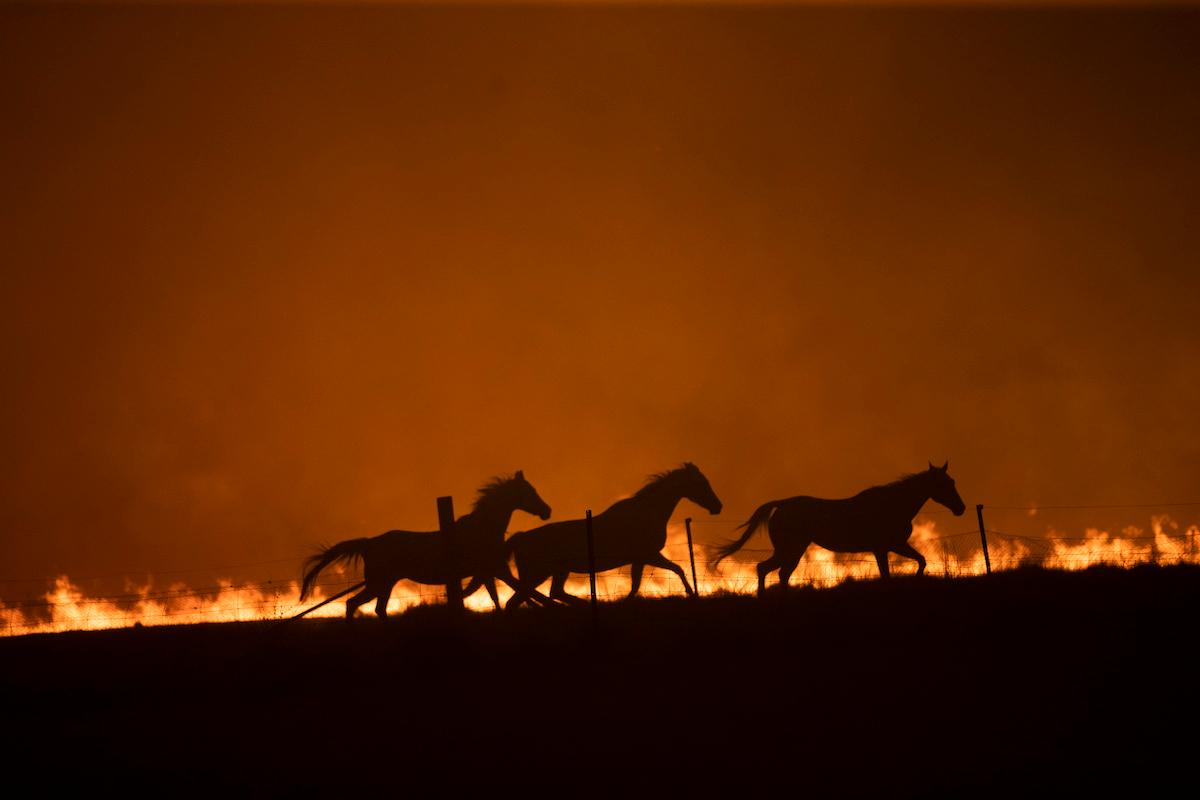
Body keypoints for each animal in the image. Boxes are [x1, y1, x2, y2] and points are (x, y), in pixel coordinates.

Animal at [304, 472, 556, 618]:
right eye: (529, 491)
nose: (547, 511)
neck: (481, 529)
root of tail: (369, 543)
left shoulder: (487, 572)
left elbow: (500, 597)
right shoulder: (496, 569)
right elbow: (521, 591)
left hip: (387, 583)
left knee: (377, 609)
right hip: (378, 582)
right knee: (352, 603)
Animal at [504, 462, 720, 606]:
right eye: (701, 483)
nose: (718, 506)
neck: (647, 512)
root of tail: (521, 538)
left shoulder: (640, 559)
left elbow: (639, 583)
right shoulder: (649, 555)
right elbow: (677, 570)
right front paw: (691, 593)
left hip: (554, 572)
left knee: (547, 594)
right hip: (539, 574)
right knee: (525, 599)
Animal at [710, 462, 964, 594]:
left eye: (952, 482)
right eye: (945, 483)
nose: (960, 508)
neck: (891, 504)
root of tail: (782, 504)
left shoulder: (894, 545)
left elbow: (921, 561)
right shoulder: (885, 547)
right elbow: (890, 573)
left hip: (793, 550)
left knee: (779, 573)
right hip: (790, 549)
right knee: (766, 569)